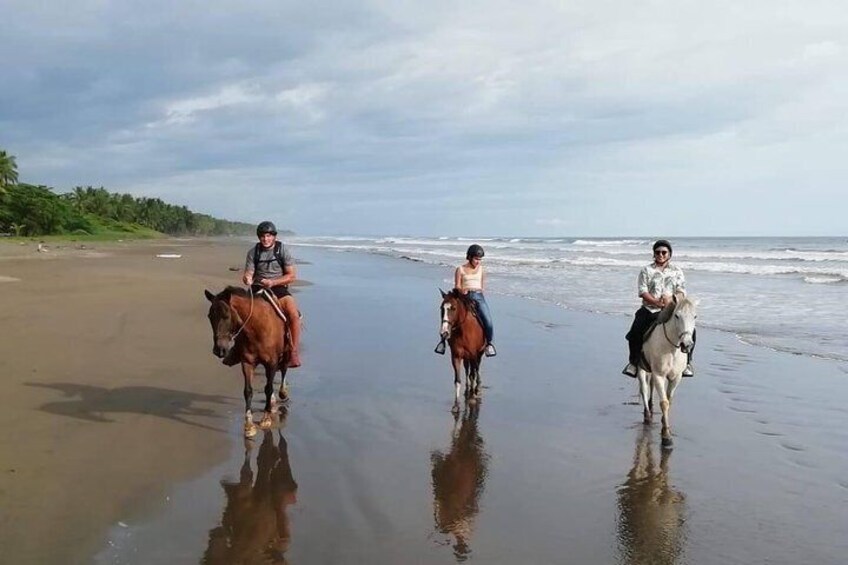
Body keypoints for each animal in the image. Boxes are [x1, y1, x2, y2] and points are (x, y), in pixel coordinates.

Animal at [205, 286, 292, 436]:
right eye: (210, 316)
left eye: (226, 316)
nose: (219, 350)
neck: (256, 328)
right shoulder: (247, 362)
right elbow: (248, 391)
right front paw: (249, 425)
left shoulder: (271, 363)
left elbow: (268, 388)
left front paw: (266, 418)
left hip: (285, 352)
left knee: (284, 369)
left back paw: (282, 392)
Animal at [636, 294, 696, 448]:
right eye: (677, 316)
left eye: (695, 316)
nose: (687, 345)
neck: (672, 348)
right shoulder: (659, 375)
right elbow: (664, 403)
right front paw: (666, 437)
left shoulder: (676, 377)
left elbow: (669, 400)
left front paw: (664, 425)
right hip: (641, 368)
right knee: (644, 388)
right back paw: (647, 416)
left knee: (650, 386)